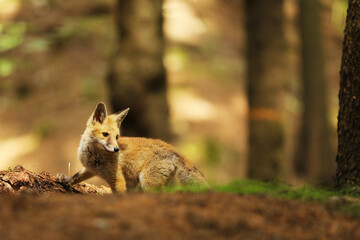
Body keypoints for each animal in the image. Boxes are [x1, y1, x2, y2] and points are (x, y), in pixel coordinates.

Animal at [56, 102, 208, 192]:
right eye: (105, 134)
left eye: (117, 137)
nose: (117, 150)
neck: (93, 154)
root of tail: (174, 149)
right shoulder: (91, 169)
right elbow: (76, 176)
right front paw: (65, 180)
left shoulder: (117, 178)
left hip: (147, 182)